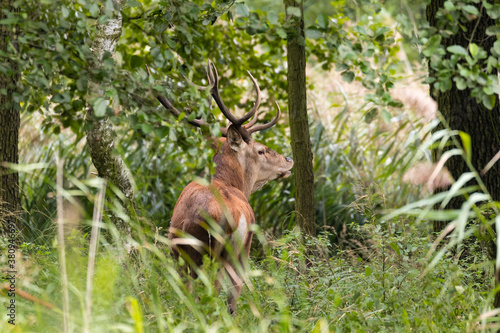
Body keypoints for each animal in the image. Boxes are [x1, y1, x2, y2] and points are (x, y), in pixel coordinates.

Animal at [148, 60, 294, 314]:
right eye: (261, 150)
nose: (288, 160)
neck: (226, 180)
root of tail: (234, 216)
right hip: (237, 249)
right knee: (231, 293)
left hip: (210, 251)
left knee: (213, 292)